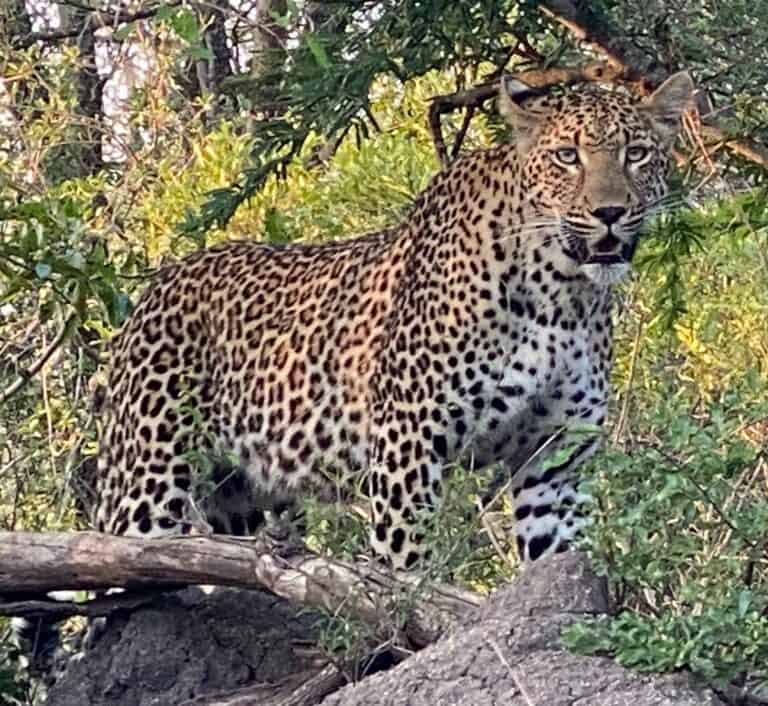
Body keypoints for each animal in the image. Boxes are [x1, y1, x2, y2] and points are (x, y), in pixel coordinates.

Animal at [93, 72, 693, 570]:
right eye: (568, 156)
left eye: (637, 153)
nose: (610, 212)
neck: (561, 294)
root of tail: (153, 287)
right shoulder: (411, 442)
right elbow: (403, 567)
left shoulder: (556, 458)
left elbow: (559, 562)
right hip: (149, 481)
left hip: (241, 497)